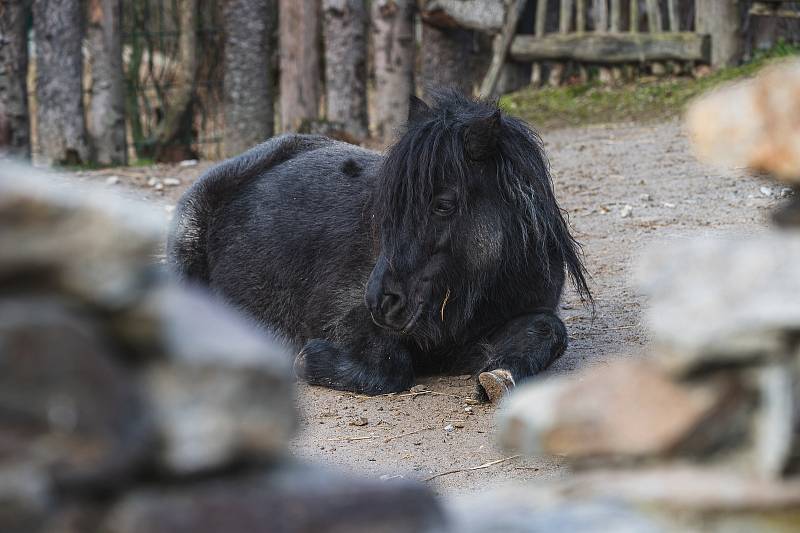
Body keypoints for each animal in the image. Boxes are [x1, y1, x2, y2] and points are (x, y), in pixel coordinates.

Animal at [167, 91, 588, 400]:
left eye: (443, 204)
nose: (381, 300)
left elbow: (550, 331)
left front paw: (499, 376)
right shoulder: (350, 318)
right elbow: (391, 367)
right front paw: (307, 359)